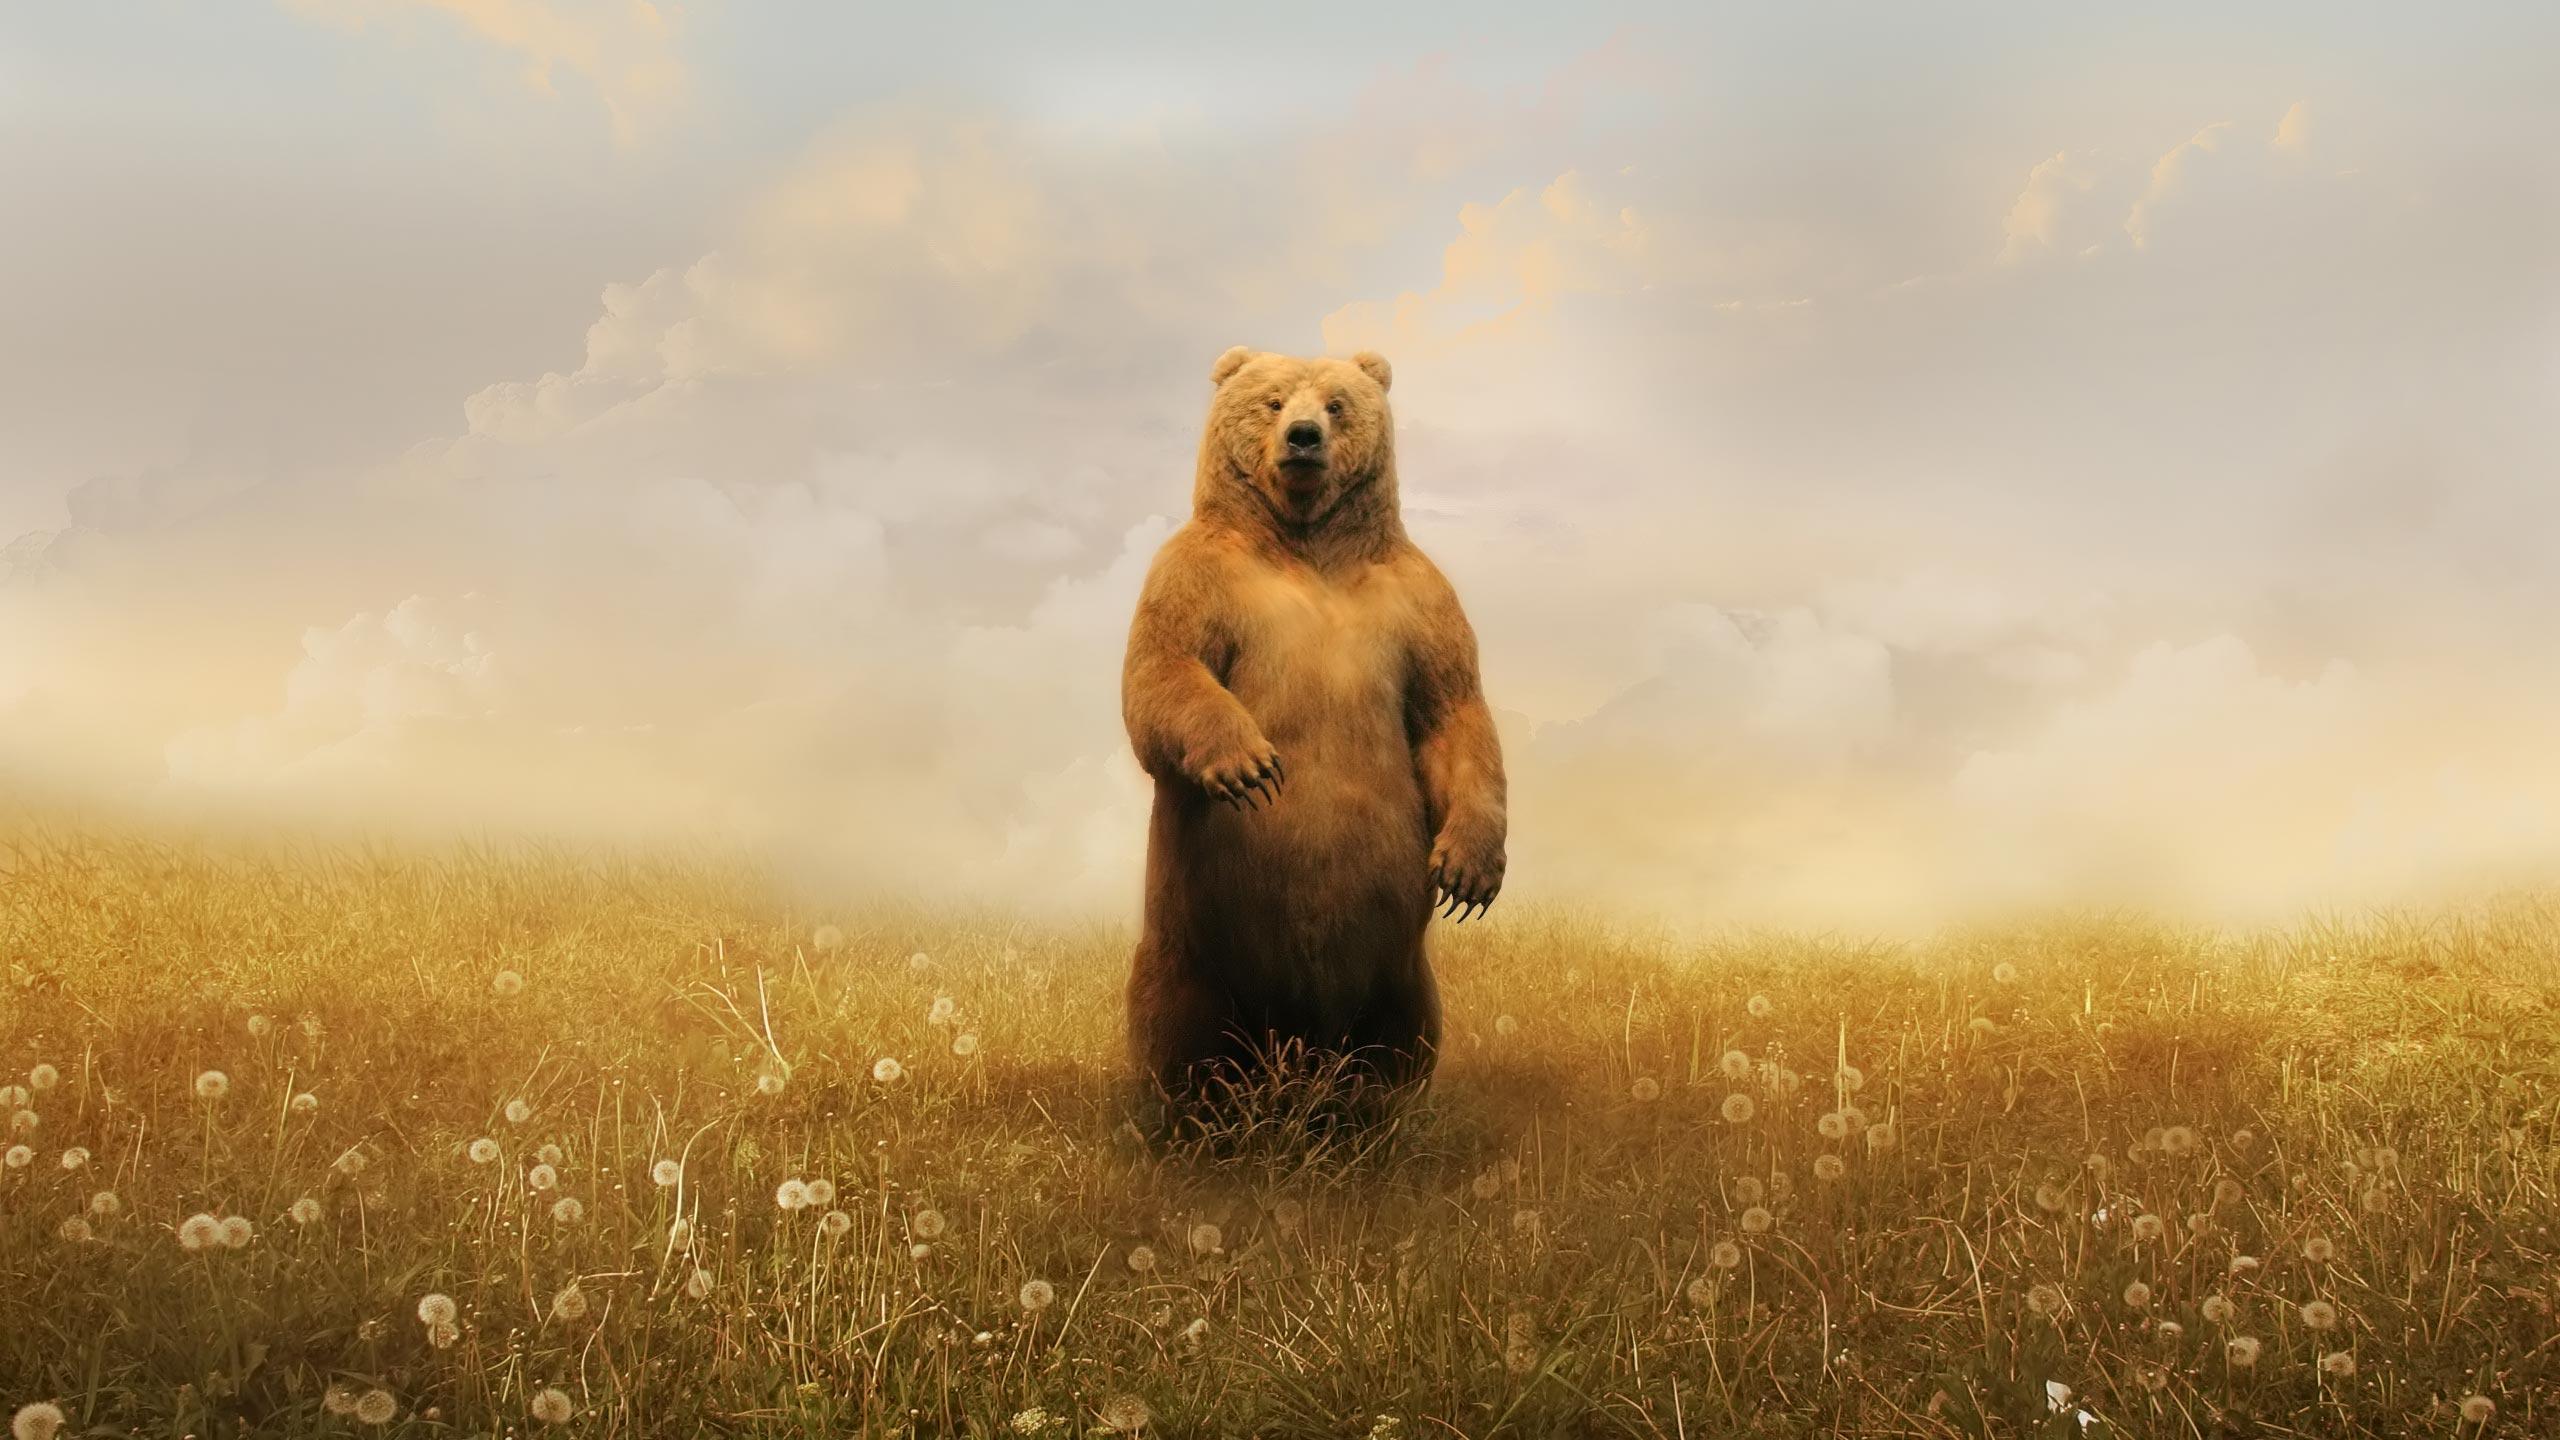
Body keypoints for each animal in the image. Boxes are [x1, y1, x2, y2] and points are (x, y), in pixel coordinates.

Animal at [1120, 344, 1508, 1131]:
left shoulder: (1419, 601)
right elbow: (1163, 671)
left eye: (1336, 403)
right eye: (1271, 401)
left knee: (1403, 1036)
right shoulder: (1197, 575)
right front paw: (1250, 764)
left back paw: (1373, 1112)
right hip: (1192, 949)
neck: (1305, 541)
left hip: (1399, 969)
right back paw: (1194, 1118)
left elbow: (1453, 711)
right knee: (1178, 1030)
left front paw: (1469, 872)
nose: (1302, 438)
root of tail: (1297, 1052)